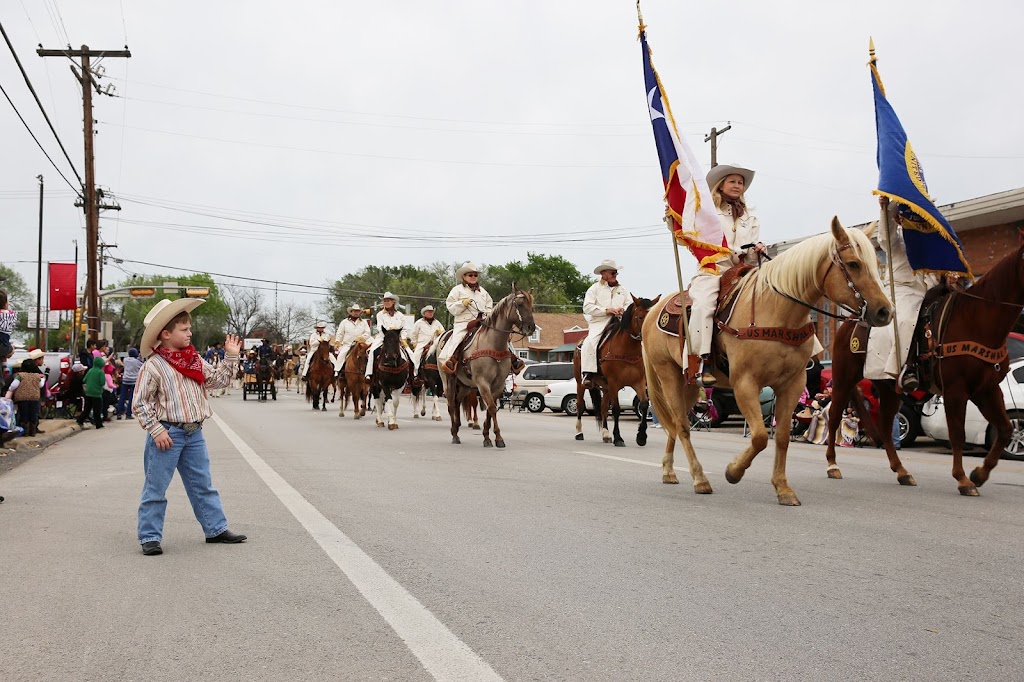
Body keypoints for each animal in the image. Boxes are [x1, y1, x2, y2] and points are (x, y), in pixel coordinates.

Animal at [448, 282, 536, 446]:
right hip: (448, 380)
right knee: (451, 405)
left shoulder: (499, 384)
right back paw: (454, 434)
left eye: (531, 306)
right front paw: (498, 438)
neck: (494, 344)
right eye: (520, 304)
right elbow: (492, 408)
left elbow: (490, 409)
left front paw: (487, 436)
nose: (531, 328)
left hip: (465, 385)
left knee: (456, 402)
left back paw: (457, 428)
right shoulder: (482, 383)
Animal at [573, 292, 659, 446]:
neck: (627, 351)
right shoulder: (614, 383)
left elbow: (644, 405)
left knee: (603, 408)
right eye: (640, 317)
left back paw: (606, 434)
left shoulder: (639, 382)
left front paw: (641, 436)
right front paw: (618, 437)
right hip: (580, 383)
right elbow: (617, 409)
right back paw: (579, 432)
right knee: (580, 405)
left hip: (605, 387)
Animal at [643, 218, 892, 503]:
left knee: (675, 422)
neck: (775, 311)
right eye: (853, 264)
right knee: (682, 426)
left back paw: (669, 471)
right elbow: (761, 436)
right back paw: (700, 478)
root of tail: (652, 311)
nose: (885, 311)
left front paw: (783, 488)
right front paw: (733, 471)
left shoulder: (792, 385)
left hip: (690, 384)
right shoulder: (745, 384)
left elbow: (781, 436)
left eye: (874, 263)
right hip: (668, 375)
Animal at [823, 238, 1024, 493]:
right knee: (834, 417)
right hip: (843, 379)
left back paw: (902, 472)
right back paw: (832, 465)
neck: (975, 321)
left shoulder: (986, 389)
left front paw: (979, 473)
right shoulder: (956, 390)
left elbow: (1006, 429)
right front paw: (963, 479)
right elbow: (957, 434)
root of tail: (850, 321)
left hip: (888, 388)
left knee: (886, 427)